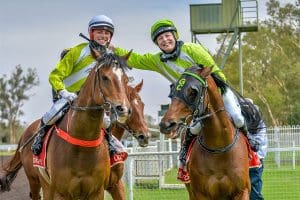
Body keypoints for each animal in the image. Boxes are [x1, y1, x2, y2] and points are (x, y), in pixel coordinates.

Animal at [0, 52, 131, 199]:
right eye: (105, 77)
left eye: (126, 80)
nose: (123, 109)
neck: (82, 143)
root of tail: (25, 134)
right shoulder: (61, 192)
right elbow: (56, 74)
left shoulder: (97, 191)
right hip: (37, 182)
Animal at [159, 66, 251, 199]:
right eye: (173, 92)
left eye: (193, 92)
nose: (166, 125)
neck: (219, 148)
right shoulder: (200, 193)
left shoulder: (242, 191)